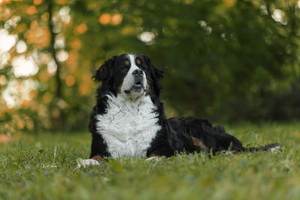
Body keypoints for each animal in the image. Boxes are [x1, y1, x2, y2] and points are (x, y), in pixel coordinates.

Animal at [80, 53, 282, 166]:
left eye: (142, 66)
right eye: (124, 68)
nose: (138, 72)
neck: (130, 109)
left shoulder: (163, 146)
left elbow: (156, 155)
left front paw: (151, 161)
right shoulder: (103, 148)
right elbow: (96, 157)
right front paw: (86, 162)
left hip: (199, 130)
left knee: (234, 150)